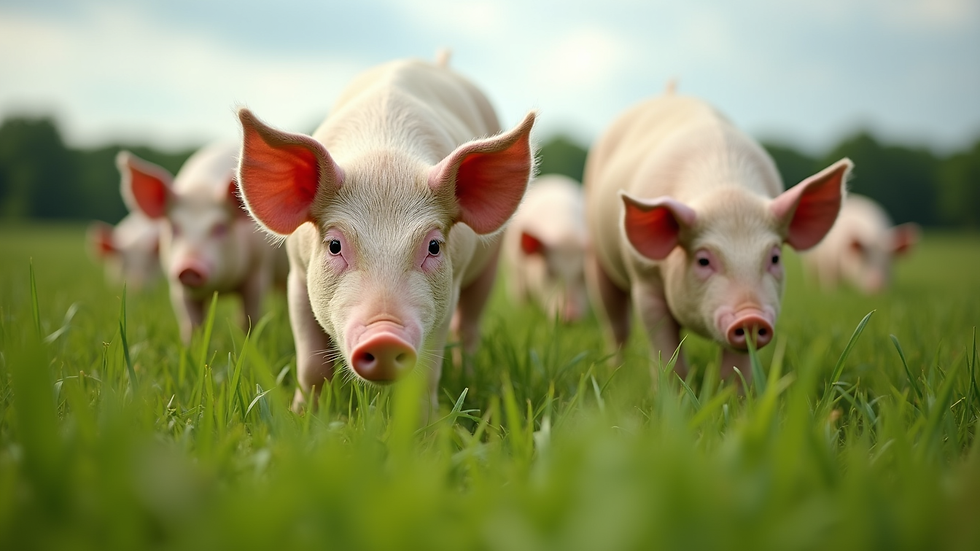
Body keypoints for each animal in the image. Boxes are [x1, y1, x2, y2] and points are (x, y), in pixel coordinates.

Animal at [118, 143, 286, 343]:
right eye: (174, 227)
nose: (189, 267)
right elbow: (192, 323)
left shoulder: (258, 271)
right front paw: (191, 345)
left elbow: (250, 316)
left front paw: (249, 342)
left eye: (220, 227)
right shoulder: (179, 287)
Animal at [234, 58, 536, 412]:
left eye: (434, 246)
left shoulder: (449, 289)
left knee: (469, 328)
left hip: (489, 267)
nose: (384, 337)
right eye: (334, 245)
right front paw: (302, 415)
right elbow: (312, 365)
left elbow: (427, 374)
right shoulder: (297, 274)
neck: (385, 158)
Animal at [583, 93, 852, 382]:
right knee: (615, 321)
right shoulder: (644, 281)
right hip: (598, 256)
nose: (751, 317)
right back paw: (616, 372)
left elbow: (735, 368)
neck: (726, 188)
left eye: (775, 258)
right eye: (703, 260)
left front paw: (734, 393)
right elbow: (666, 351)